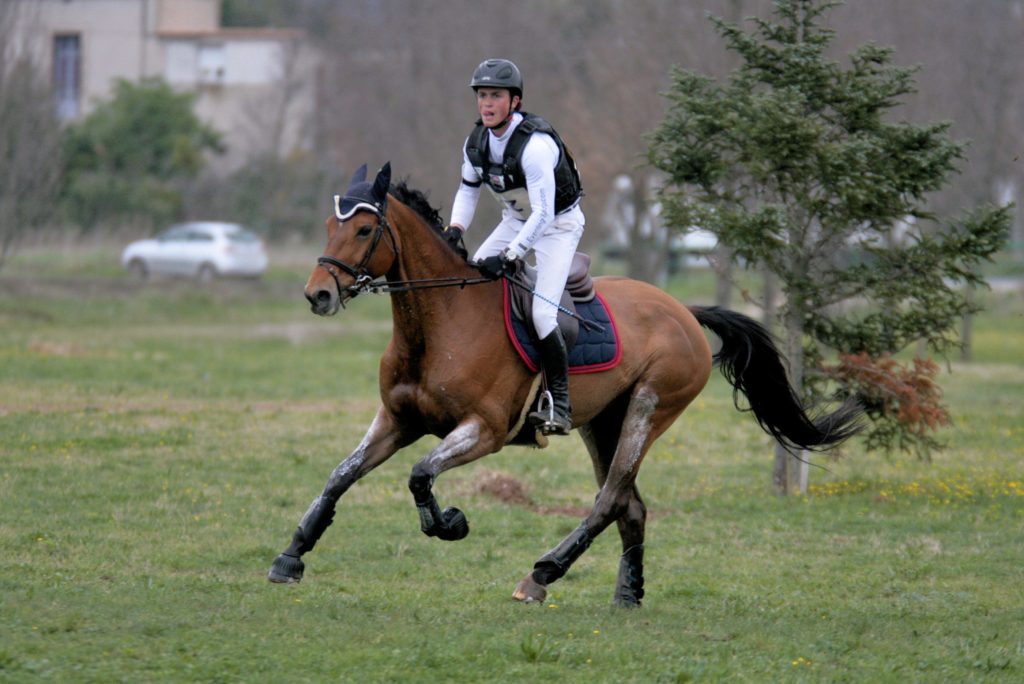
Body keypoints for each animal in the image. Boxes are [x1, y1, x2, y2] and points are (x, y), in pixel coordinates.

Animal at [268, 162, 860, 606]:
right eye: (330, 227)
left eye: (365, 230)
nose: (318, 294)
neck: (439, 324)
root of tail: (684, 312)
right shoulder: (398, 420)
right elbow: (341, 475)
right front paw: (291, 555)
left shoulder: (484, 431)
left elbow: (419, 476)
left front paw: (450, 524)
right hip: (603, 422)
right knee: (629, 505)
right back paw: (627, 593)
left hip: (649, 409)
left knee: (609, 499)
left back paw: (542, 574)